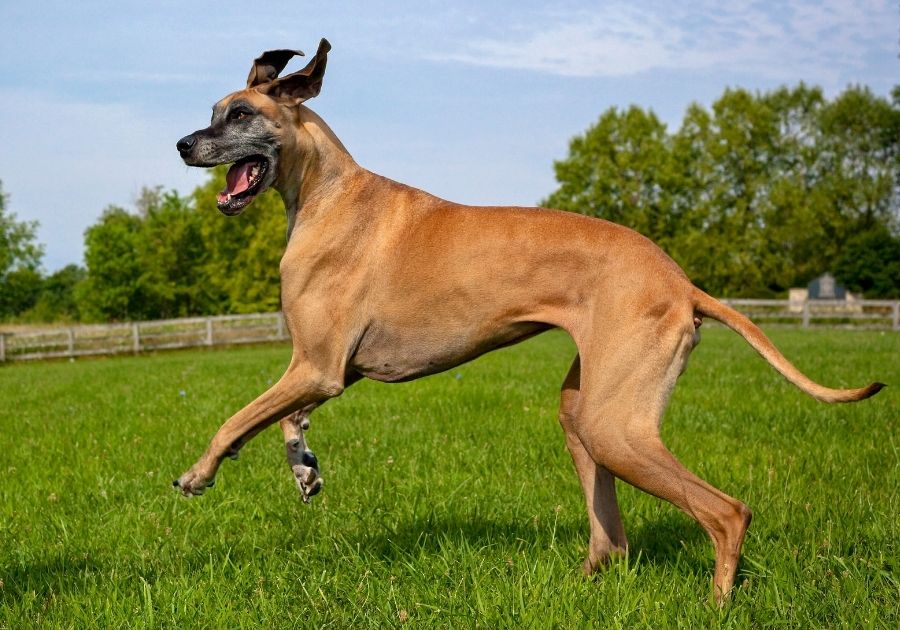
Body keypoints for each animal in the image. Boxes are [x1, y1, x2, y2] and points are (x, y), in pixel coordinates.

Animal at [174, 39, 880, 604]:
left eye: (240, 114)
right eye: (214, 111)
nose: (183, 144)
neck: (328, 193)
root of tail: (681, 282)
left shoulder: (317, 367)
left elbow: (234, 421)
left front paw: (198, 475)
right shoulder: (323, 370)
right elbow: (285, 421)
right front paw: (304, 467)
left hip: (616, 427)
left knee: (727, 512)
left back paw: (717, 603)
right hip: (584, 412)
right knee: (613, 539)